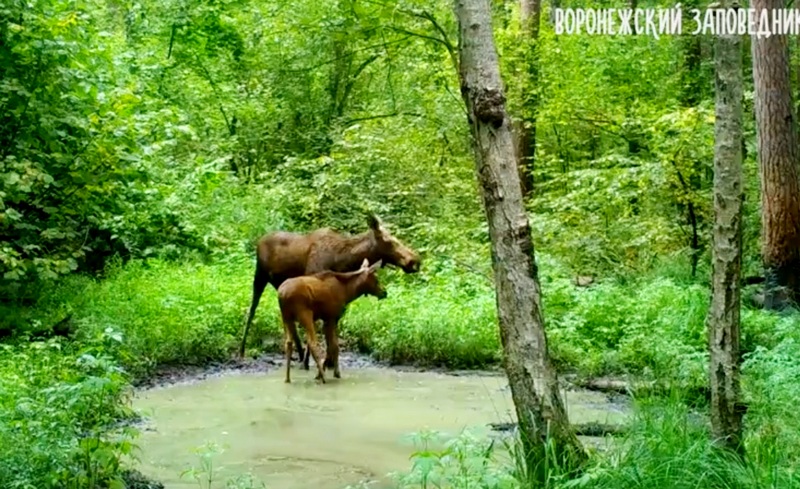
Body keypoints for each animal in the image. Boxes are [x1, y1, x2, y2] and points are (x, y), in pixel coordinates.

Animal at [238, 214, 422, 358]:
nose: (414, 261)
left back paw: (298, 353)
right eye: (389, 241)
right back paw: (242, 350)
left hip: (280, 285)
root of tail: (259, 240)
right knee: (251, 310)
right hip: (259, 276)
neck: (344, 261)